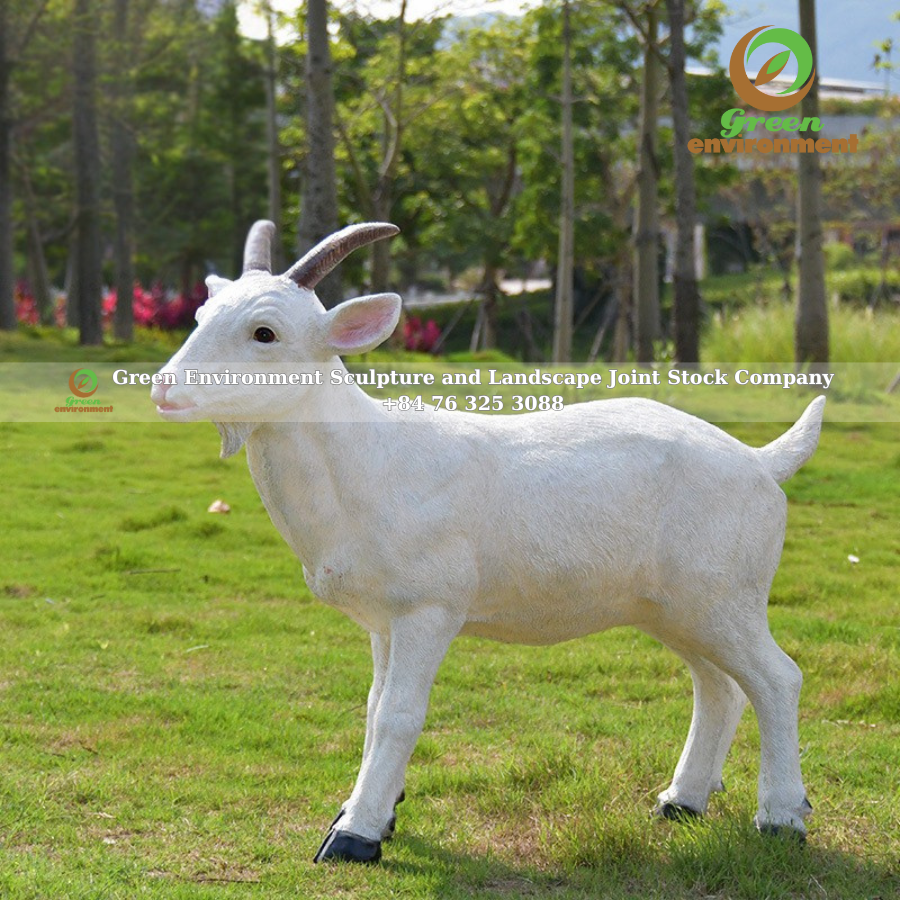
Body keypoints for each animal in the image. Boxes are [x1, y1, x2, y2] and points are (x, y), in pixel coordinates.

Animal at [152, 220, 823, 863]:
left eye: (265, 332)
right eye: (200, 316)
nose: (164, 389)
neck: (370, 461)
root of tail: (762, 462)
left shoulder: (428, 609)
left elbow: (398, 716)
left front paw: (355, 836)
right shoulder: (383, 622)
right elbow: (371, 707)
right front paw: (372, 812)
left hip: (725, 596)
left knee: (777, 679)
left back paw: (781, 819)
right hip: (676, 607)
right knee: (719, 687)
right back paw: (680, 802)